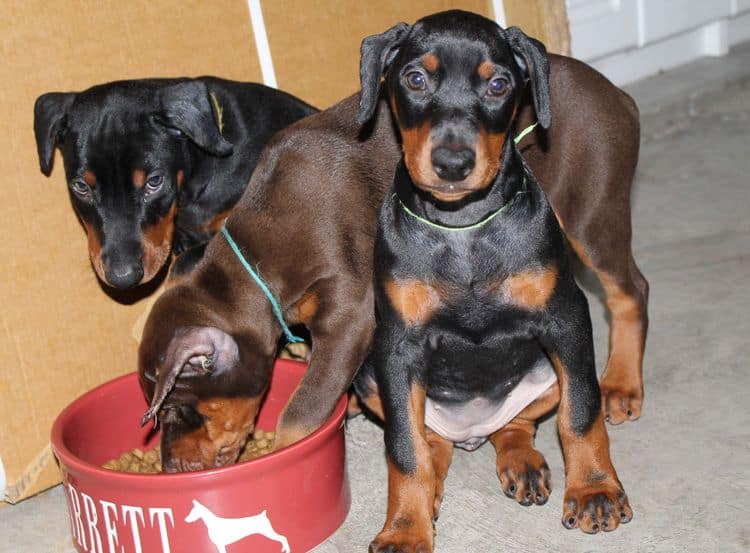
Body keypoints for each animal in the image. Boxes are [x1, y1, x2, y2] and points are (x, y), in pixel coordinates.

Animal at [354, 10, 636, 548]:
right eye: (414, 79)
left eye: (499, 84)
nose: (452, 163)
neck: (463, 226)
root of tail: (473, 433)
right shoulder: (397, 346)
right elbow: (403, 448)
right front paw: (404, 529)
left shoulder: (567, 319)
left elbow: (580, 413)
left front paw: (594, 490)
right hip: (368, 377)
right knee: (430, 440)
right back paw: (436, 484)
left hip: (551, 360)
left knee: (520, 421)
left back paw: (523, 460)